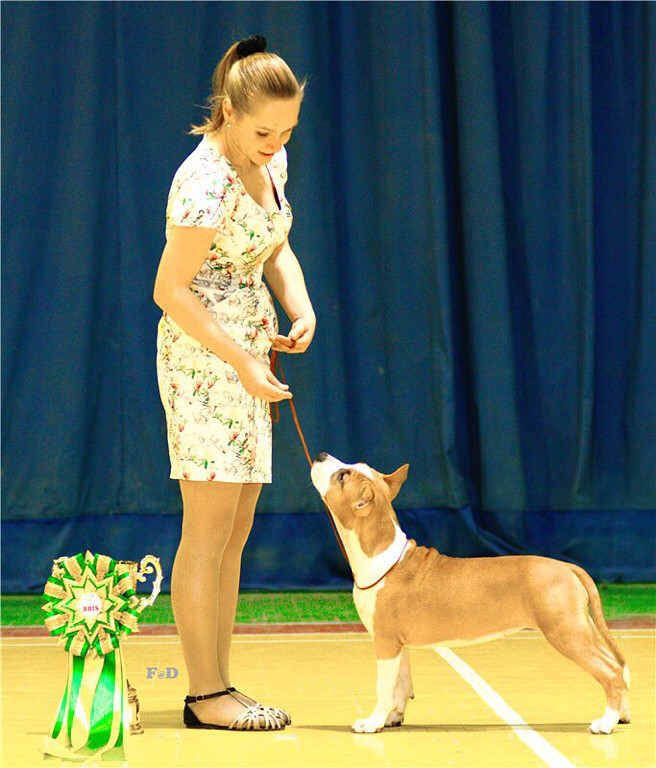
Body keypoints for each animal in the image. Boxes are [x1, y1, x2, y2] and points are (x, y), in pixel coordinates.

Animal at [310, 452, 630, 735]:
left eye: (342, 476)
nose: (321, 455)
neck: (382, 555)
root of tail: (568, 567)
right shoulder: (398, 645)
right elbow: (401, 685)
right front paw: (392, 718)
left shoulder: (386, 643)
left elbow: (384, 687)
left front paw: (372, 722)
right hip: (579, 628)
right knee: (617, 665)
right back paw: (621, 715)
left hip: (566, 632)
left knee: (610, 671)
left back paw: (605, 723)